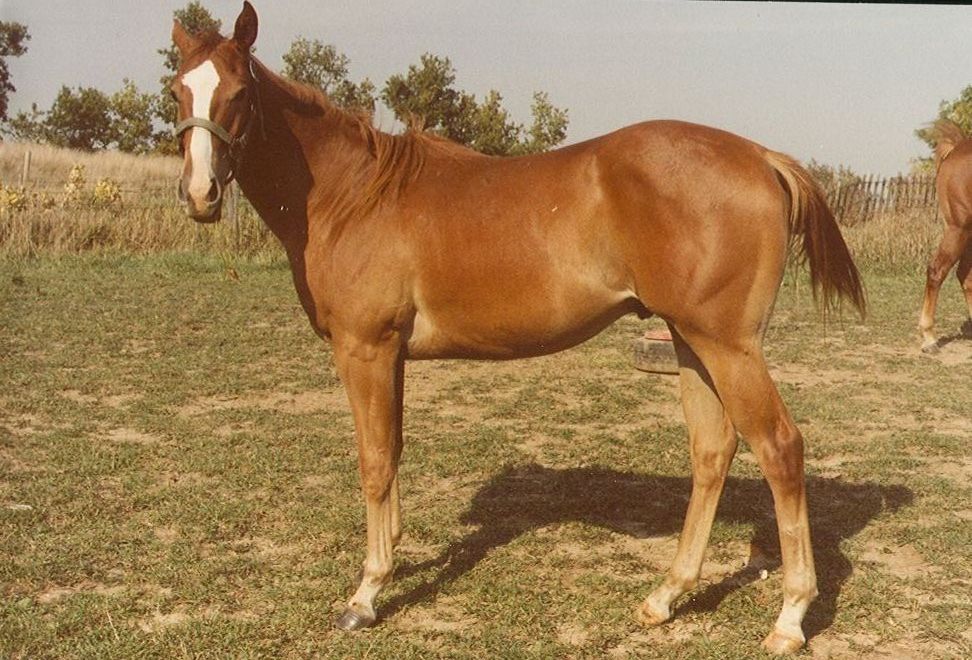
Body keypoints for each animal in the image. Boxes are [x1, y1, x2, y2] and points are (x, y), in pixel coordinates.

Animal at [170, 3, 865, 654]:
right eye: (178, 90)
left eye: (239, 92)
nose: (200, 195)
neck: (353, 194)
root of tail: (762, 158)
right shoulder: (391, 356)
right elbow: (394, 452)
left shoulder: (364, 349)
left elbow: (374, 460)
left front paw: (365, 595)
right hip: (691, 341)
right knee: (713, 451)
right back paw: (665, 596)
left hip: (729, 347)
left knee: (779, 448)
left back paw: (789, 619)